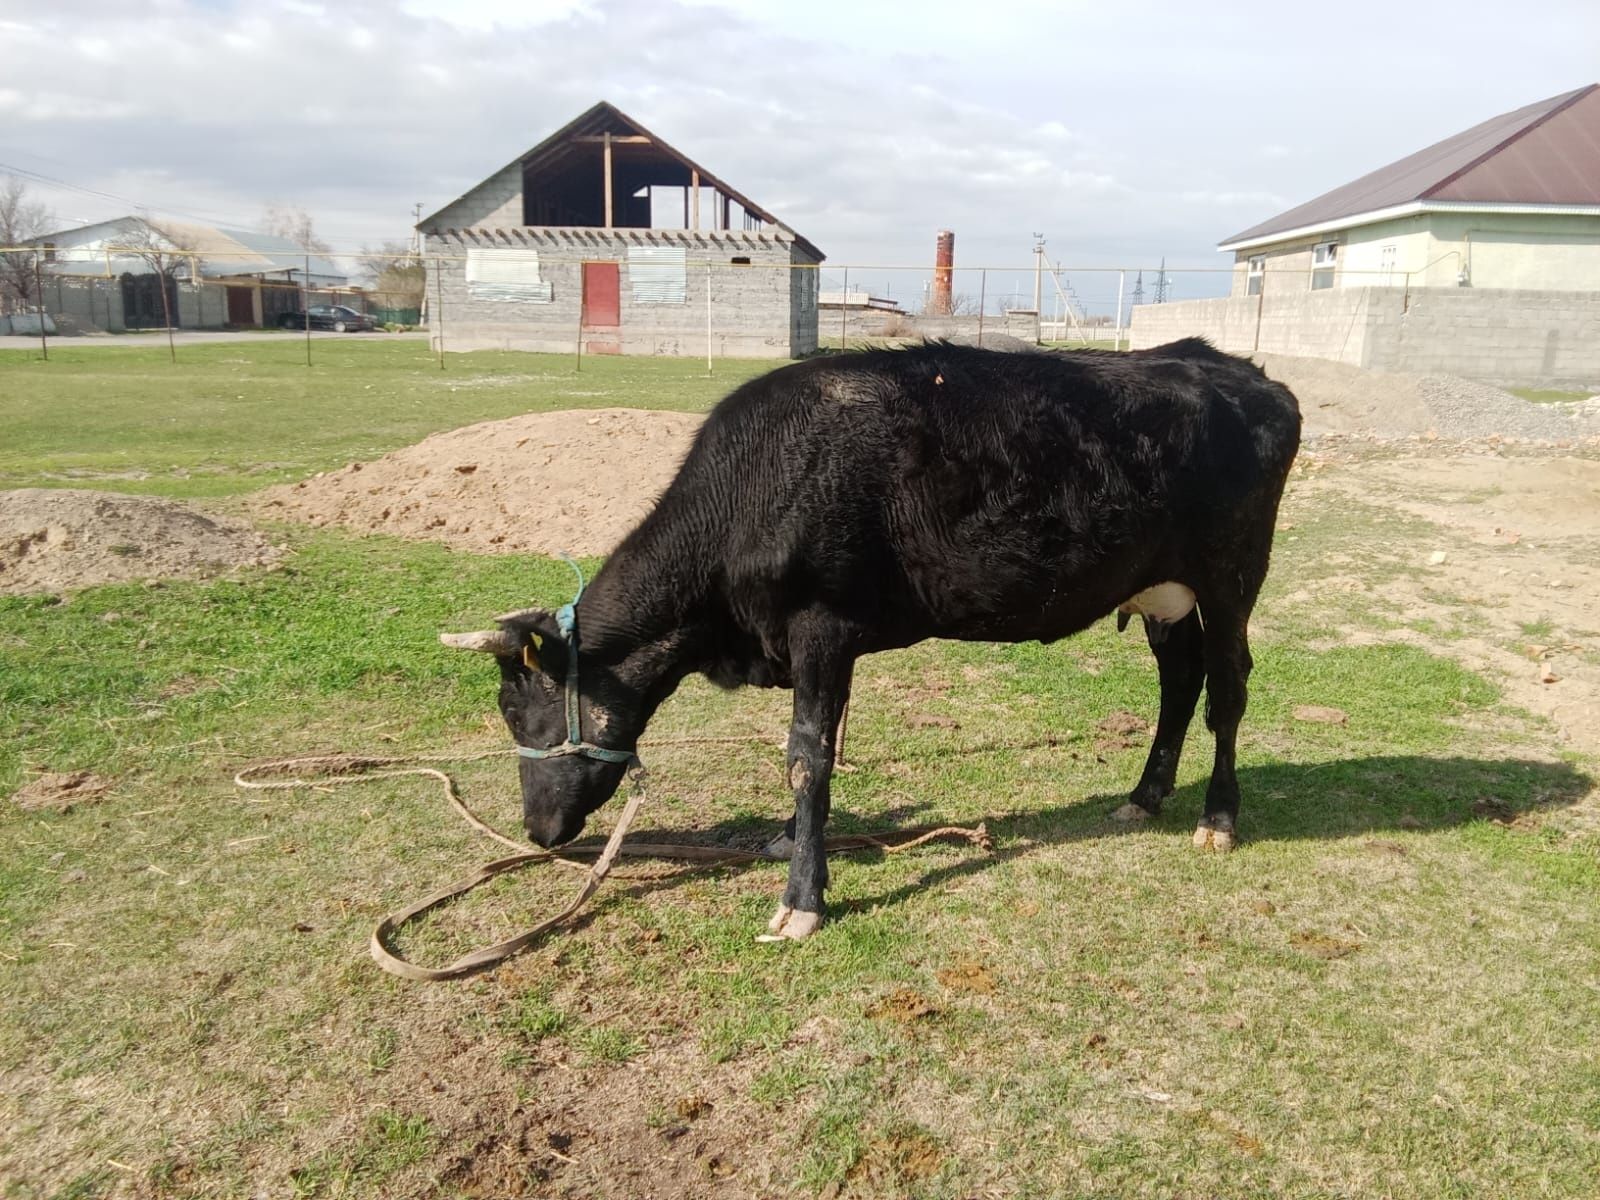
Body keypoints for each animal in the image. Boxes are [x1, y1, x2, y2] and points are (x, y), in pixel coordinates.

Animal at [441, 339, 1299, 940]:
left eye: (520, 713)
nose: (537, 832)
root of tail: (1238, 369)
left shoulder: (820, 625)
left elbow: (805, 757)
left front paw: (802, 901)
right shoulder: (831, 643)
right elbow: (815, 754)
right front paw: (793, 843)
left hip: (1233, 574)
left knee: (1227, 687)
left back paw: (1218, 818)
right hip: (1162, 590)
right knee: (1180, 679)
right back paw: (1144, 796)